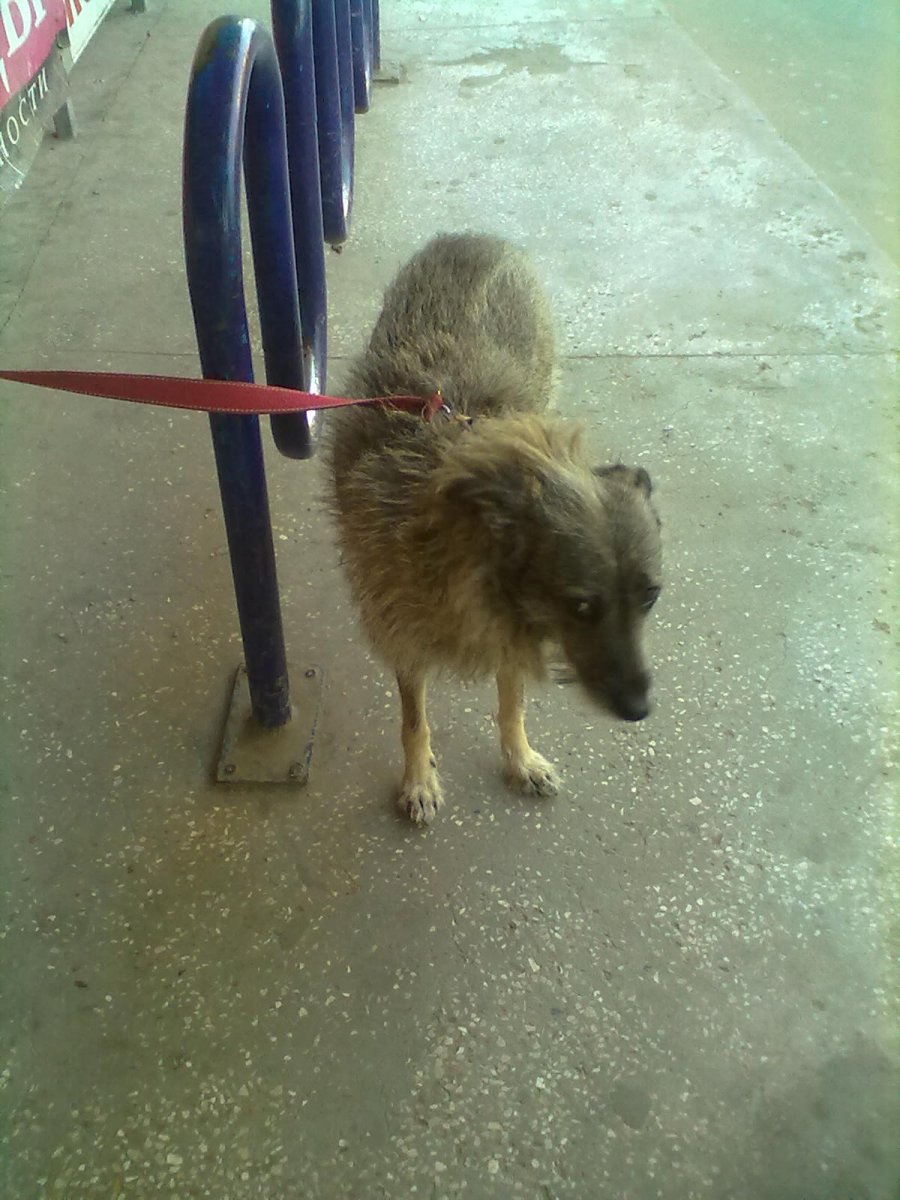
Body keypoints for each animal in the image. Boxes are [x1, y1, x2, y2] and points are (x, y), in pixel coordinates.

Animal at [328, 233, 662, 825]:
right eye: (581, 605)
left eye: (651, 597)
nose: (638, 710)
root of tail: (475, 237)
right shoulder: (402, 638)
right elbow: (414, 721)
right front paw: (419, 778)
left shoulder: (512, 632)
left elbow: (512, 703)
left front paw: (520, 757)